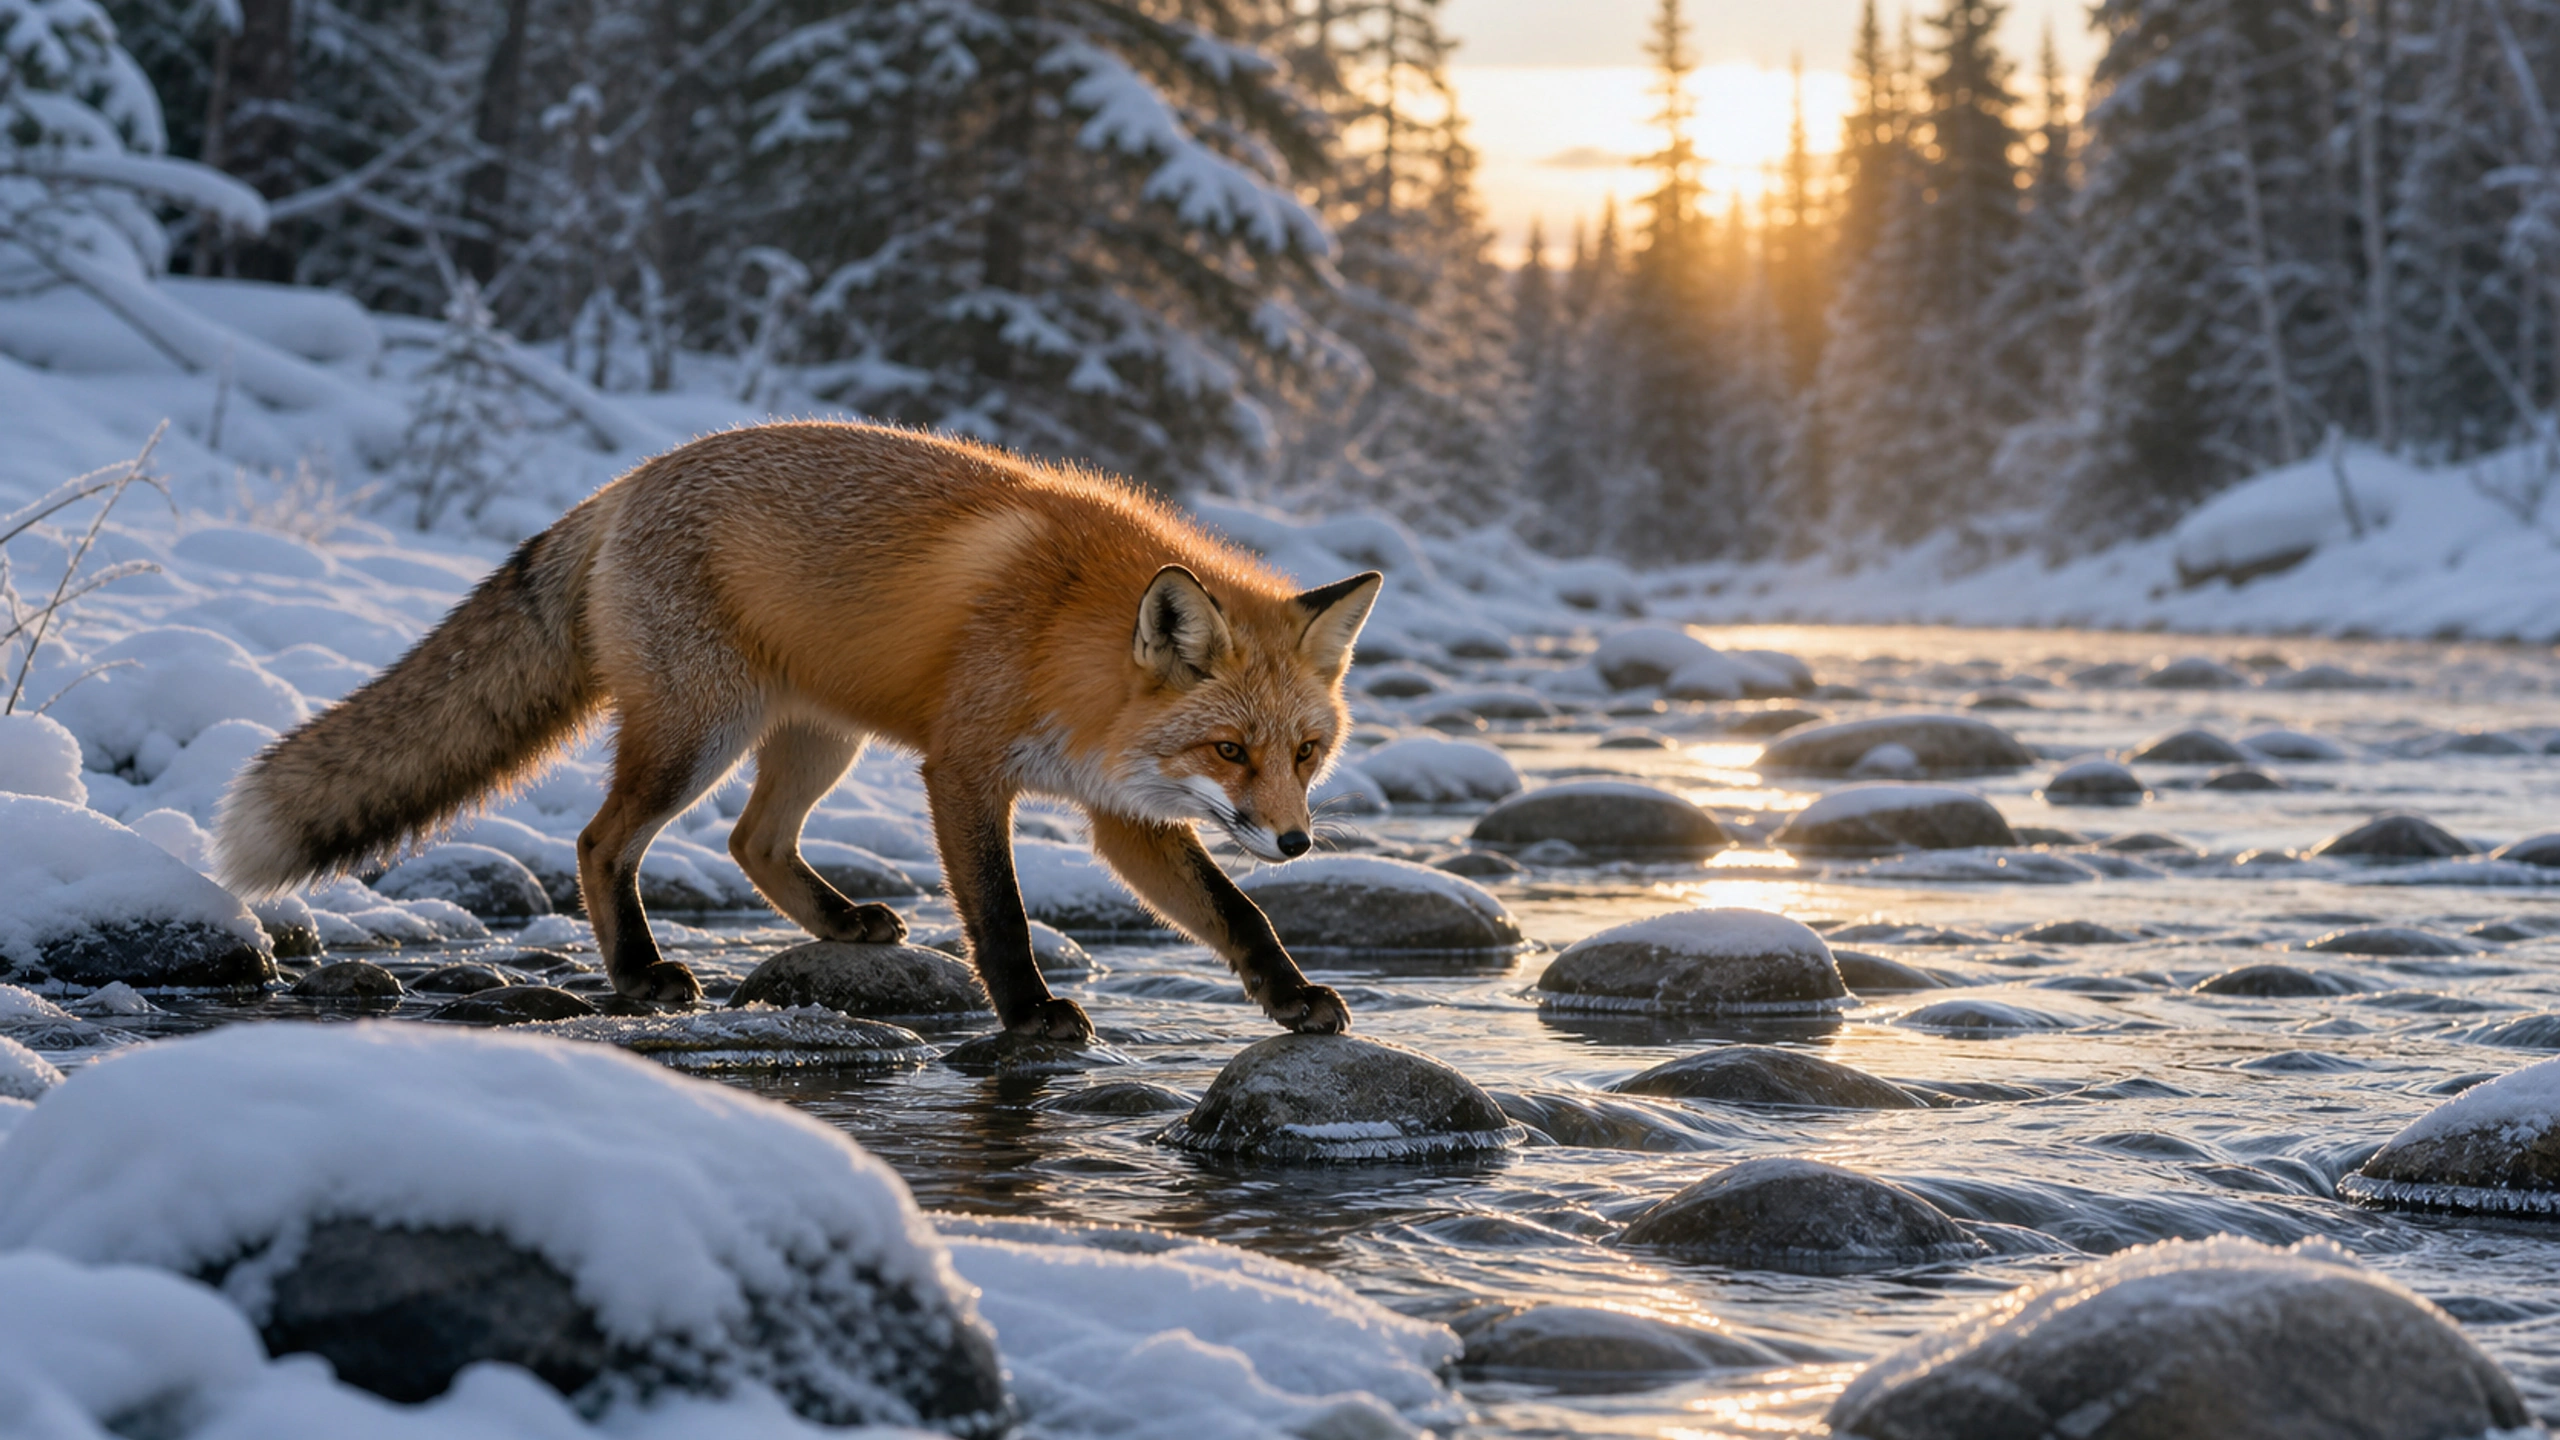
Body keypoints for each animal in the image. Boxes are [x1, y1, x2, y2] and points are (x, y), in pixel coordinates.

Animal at [214, 421, 1381, 1040]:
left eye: (1305, 753)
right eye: (1229, 750)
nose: (1295, 842)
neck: (1067, 636)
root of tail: (626, 481)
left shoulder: (1122, 816)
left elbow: (1237, 915)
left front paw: (1290, 996)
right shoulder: (962, 770)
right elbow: (999, 917)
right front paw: (1029, 1013)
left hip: (819, 743)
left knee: (752, 842)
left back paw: (836, 923)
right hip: (699, 737)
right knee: (603, 843)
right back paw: (640, 974)